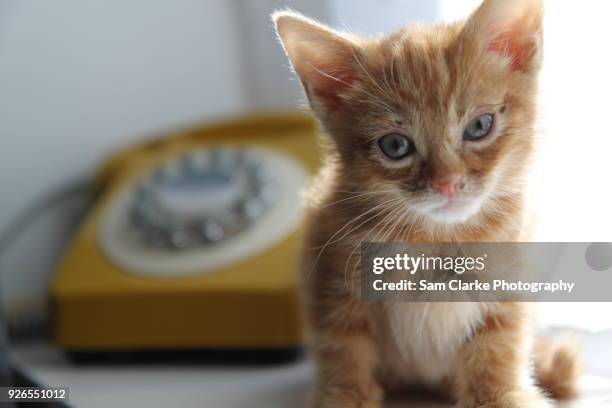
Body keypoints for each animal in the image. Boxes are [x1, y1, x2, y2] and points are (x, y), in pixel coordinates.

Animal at [272, 0, 580, 406]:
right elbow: (343, 347)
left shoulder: (510, 278)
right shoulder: (331, 277)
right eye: (395, 145)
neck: (435, 238)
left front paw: (499, 395)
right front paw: (345, 396)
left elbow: (499, 345)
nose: (446, 182)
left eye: (479, 126)